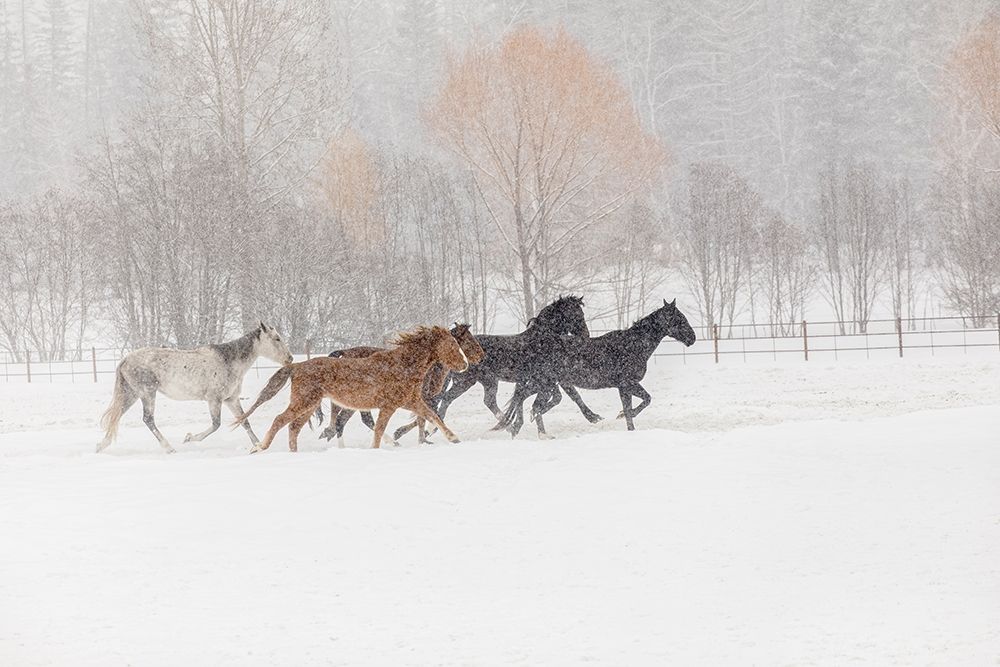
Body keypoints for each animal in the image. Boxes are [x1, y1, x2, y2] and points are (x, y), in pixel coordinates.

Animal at [97, 322, 294, 453]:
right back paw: (169, 448)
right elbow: (216, 425)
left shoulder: (231, 399)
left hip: (132, 394)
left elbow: (244, 422)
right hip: (147, 393)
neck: (228, 362)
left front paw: (258, 446)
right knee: (148, 419)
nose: (290, 358)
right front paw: (189, 438)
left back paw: (101, 446)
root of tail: (125, 359)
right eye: (277, 338)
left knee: (118, 416)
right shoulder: (214, 400)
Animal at [236, 326, 470, 453]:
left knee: (293, 428)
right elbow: (379, 429)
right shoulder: (389, 406)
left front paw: (454, 439)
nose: (465, 365)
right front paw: (376, 449)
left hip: (309, 405)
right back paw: (259, 447)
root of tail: (297, 366)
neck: (403, 365)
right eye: (452, 345)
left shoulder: (412, 401)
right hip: (303, 402)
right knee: (280, 421)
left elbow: (433, 416)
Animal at [315, 323, 486, 447]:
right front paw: (420, 438)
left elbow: (429, 416)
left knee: (350, 420)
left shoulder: (417, 400)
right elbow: (427, 418)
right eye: (466, 341)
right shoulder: (420, 398)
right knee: (345, 421)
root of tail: (344, 352)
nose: (481, 357)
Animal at [430, 295, 603, 439]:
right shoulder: (548, 378)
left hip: (482, 381)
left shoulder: (547, 378)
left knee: (478, 401)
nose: (586, 335)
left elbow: (562, 396)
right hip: (469, 381)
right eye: (577, 315)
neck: (541, 340)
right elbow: (565, 396)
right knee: (451, 399)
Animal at [492, 299, 696, 436]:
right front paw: (624, 419)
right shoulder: (626, 384)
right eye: (680, 319)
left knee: (524, 399)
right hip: (543, 383)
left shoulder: (626, 386)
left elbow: (641, 402)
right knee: (528, 401)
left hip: (543, 384)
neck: (633, 345)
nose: (692, 338)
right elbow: (637, 405)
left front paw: (624, 420)